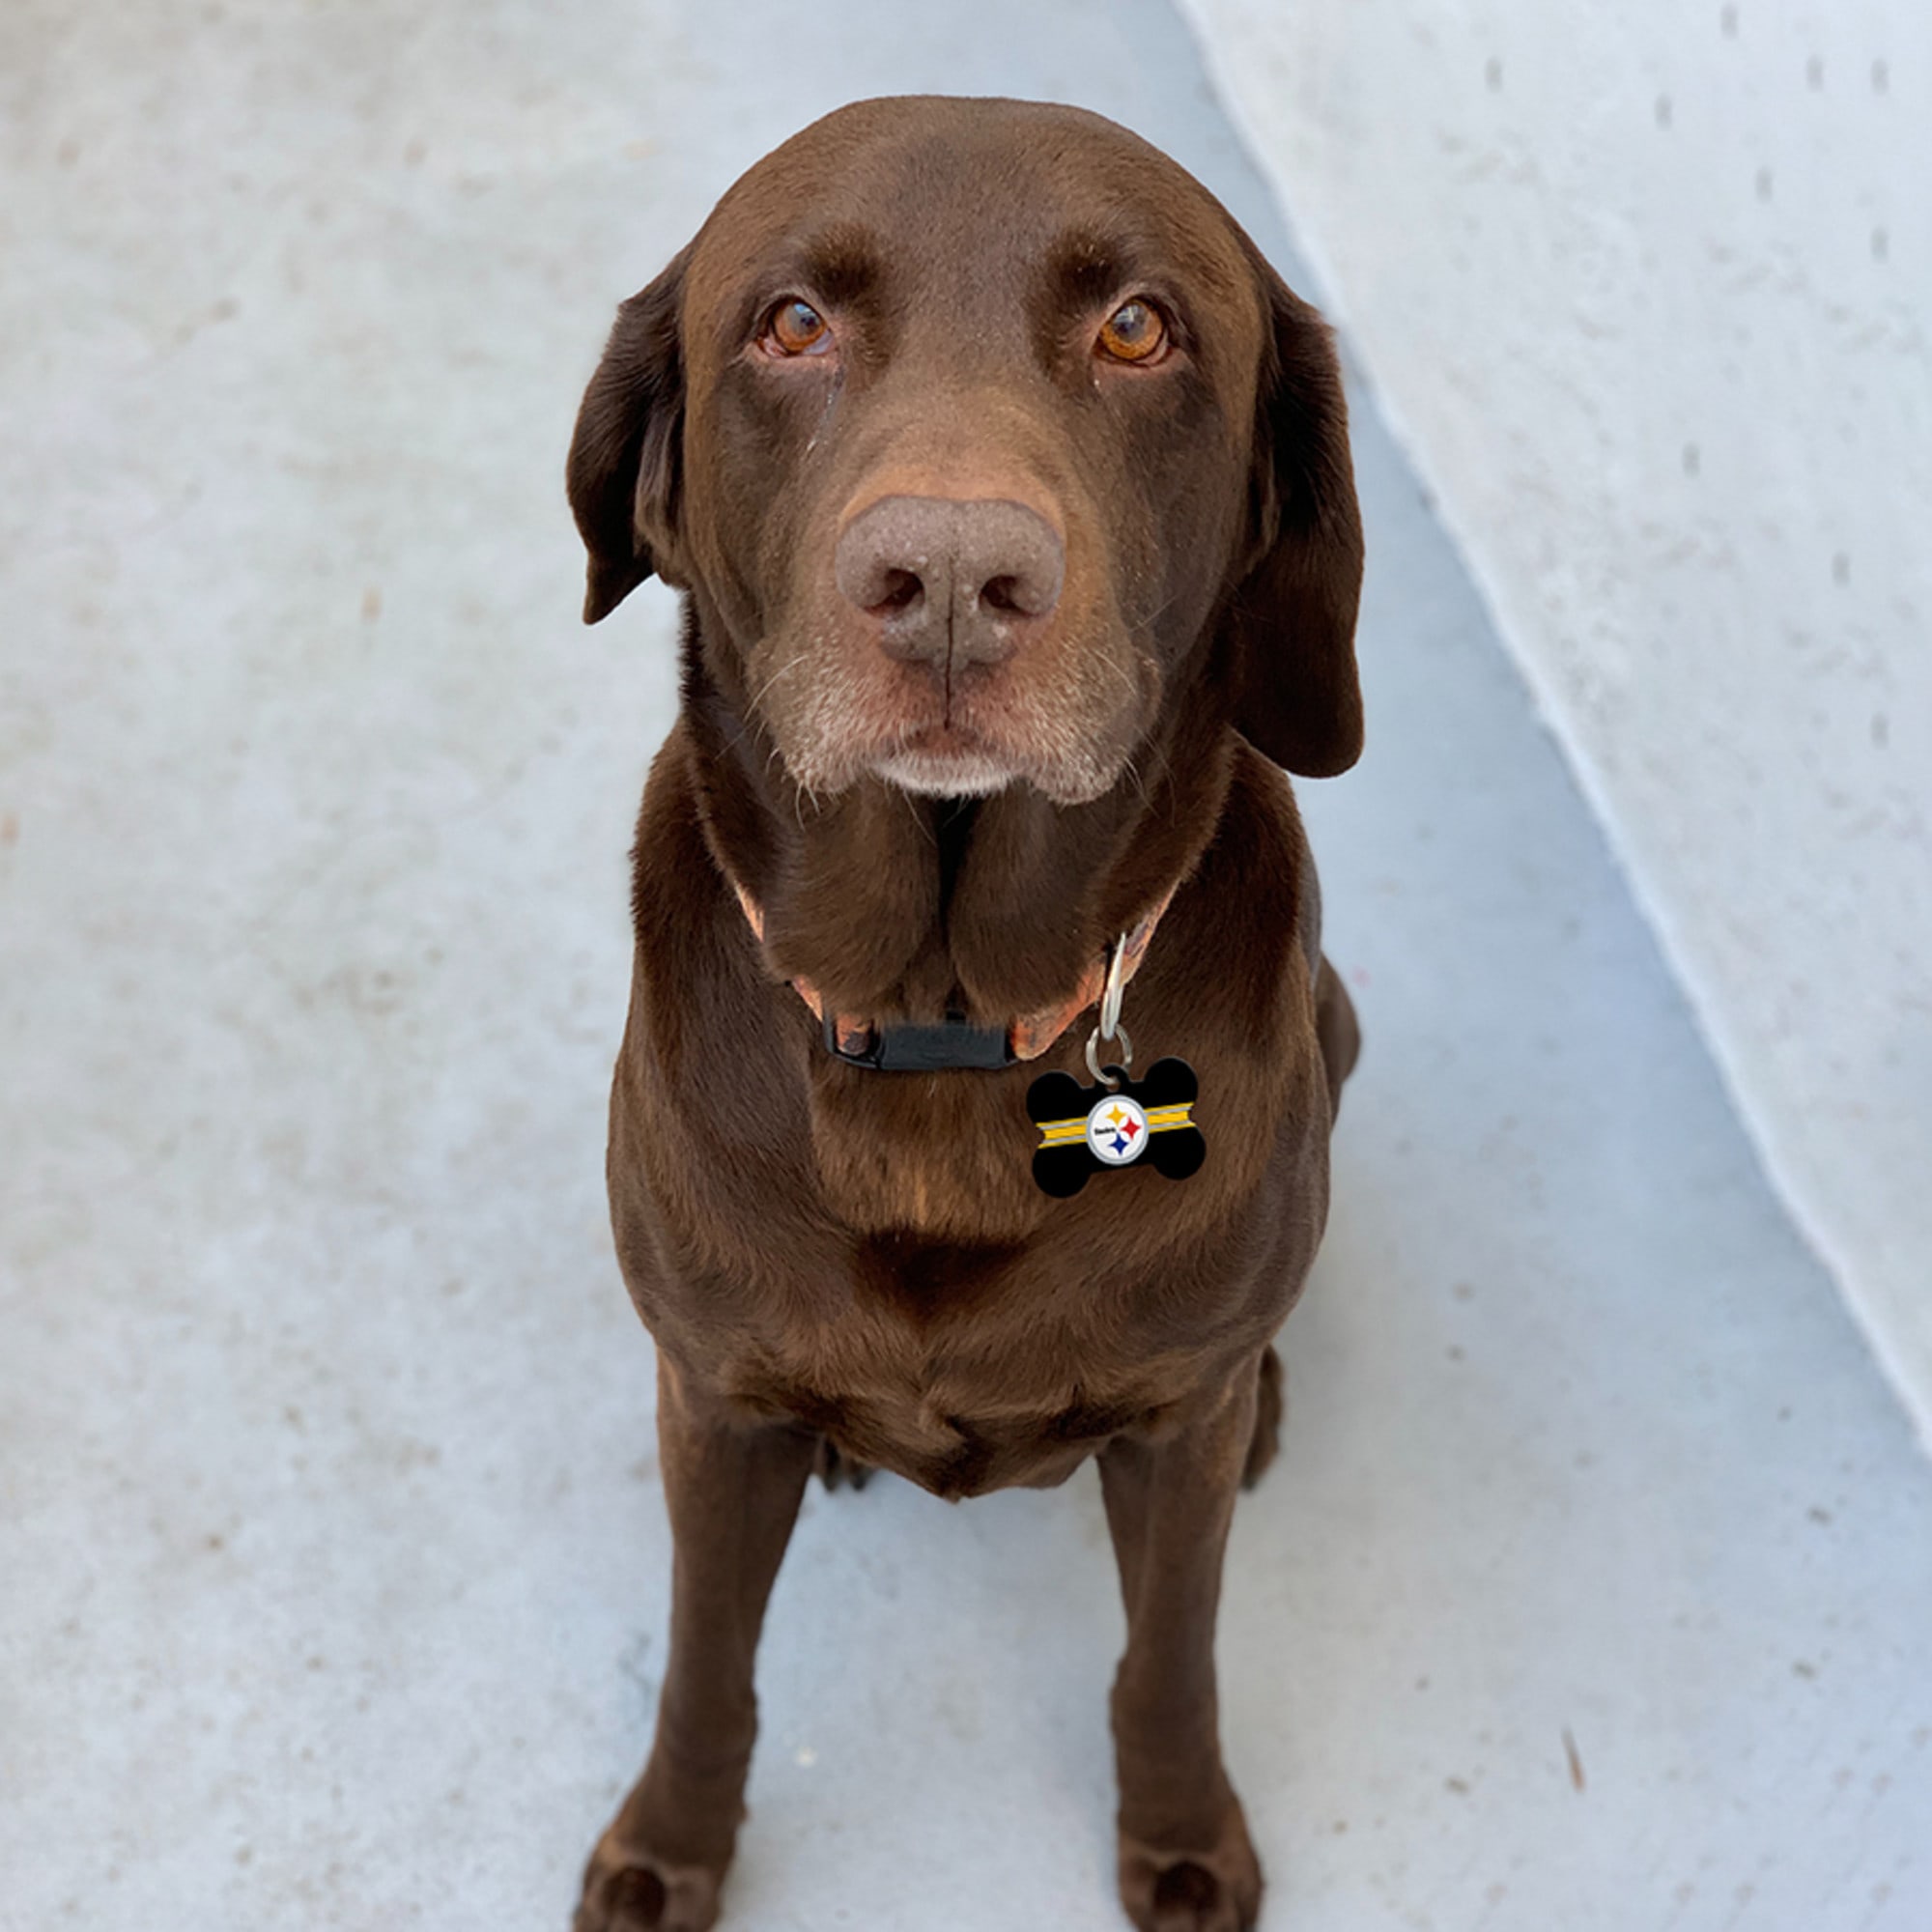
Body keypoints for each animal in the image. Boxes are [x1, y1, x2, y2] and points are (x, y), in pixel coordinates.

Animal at [564, 98, 1368, 1932]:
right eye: (791, 324)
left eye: (1139, 328)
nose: (945, 575)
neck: (939, 1024)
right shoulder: (708, 1400)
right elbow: (709, 1662)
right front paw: (673, 1845)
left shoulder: (1173, 1436)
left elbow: (1170, 1658)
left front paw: (1182, 1833)